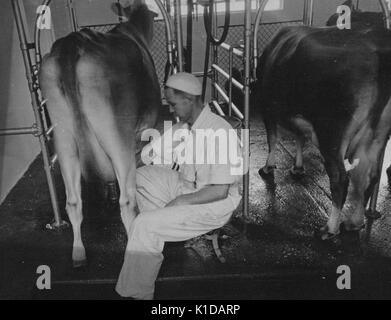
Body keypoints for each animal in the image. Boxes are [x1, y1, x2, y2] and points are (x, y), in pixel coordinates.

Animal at [38, 3, 161, 268]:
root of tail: (73, 42)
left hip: (64, 137)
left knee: (73, 201)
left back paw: (78, 254)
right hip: (116, 135)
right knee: (127, 201)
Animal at [254, 25, 391, 240]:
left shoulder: (267, 106)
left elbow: (273, 138)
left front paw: (268, 167)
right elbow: (299, 137)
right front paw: (298, 167)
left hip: (332, 133)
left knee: (341, 179)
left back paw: (329, 229)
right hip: (378, 134)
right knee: (370, 174)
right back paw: (354, 222)